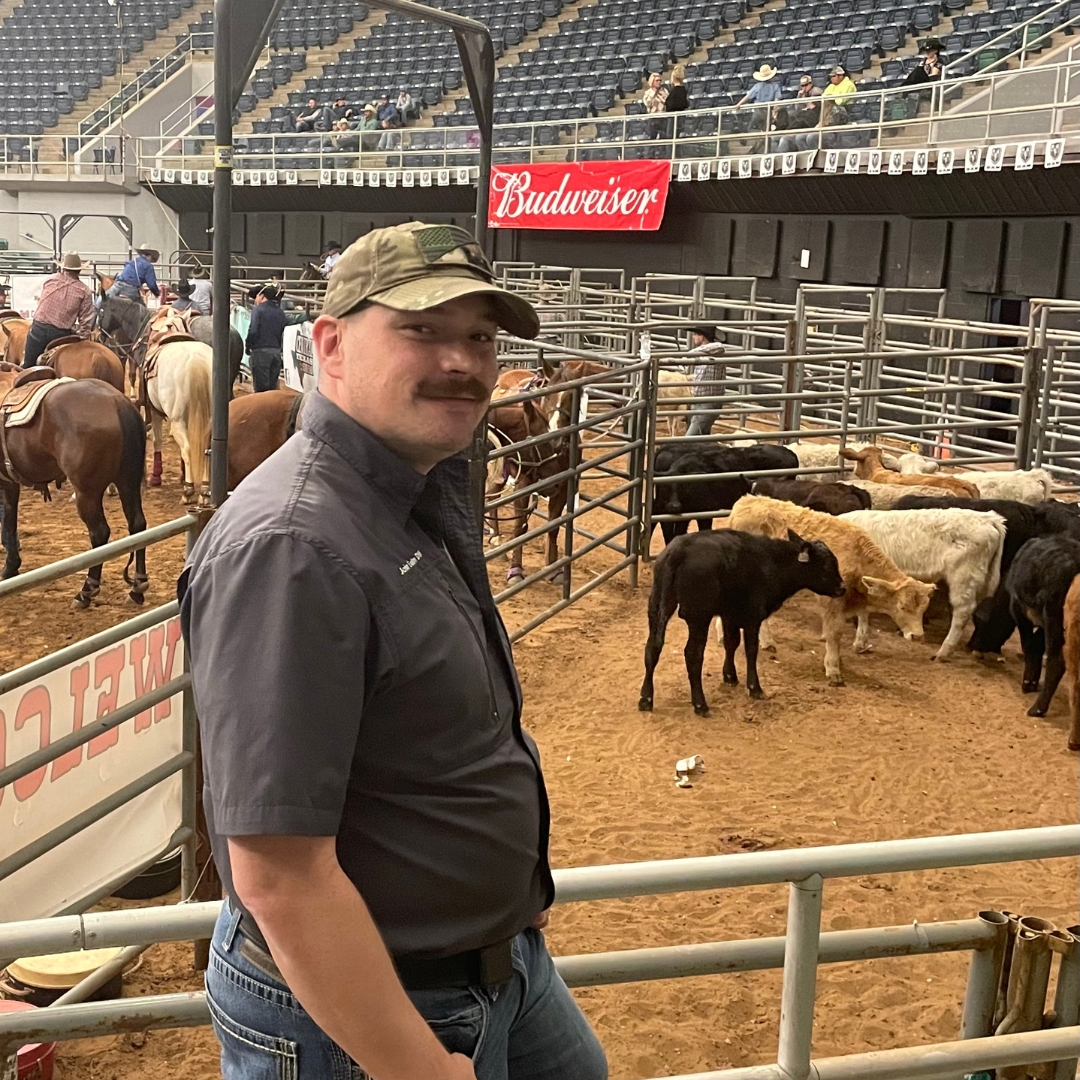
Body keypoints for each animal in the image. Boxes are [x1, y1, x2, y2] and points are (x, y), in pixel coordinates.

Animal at [0, 369, 150, 609]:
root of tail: (117, 402)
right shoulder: (9, 484)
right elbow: (10, 523)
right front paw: (11, 567)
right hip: (128, 482)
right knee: (138, 525)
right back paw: (137, 588)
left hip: (87, 493)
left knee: (100, 533)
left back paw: (86, 591)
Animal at [639, 524, 842, 712]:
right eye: (827, 565)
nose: (843, 588)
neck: (772, 561)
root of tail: (677, 552)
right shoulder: (753, 617)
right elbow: (751, 650)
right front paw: (754, 687)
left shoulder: (729, 614)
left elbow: (731, 643)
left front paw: (730, 676)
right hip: (699, 616)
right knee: (693, 655)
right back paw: (700, 704)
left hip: (656, 606)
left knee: (652, 648)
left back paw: (646, 699)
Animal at [725, 494, 937, 682]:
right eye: (902, 606)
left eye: (924, 609)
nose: (918, 636)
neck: (857, 556)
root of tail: (746, 501)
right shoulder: (832, 602)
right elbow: (834, 634)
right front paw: (833, 668)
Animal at [997, 533, 1080, 717]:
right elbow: (1036, 644)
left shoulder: (1018, 609)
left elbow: (1028, 645)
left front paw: (1029, 682)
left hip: (1054, 616)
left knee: (1057, 661)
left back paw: (1038, 708)